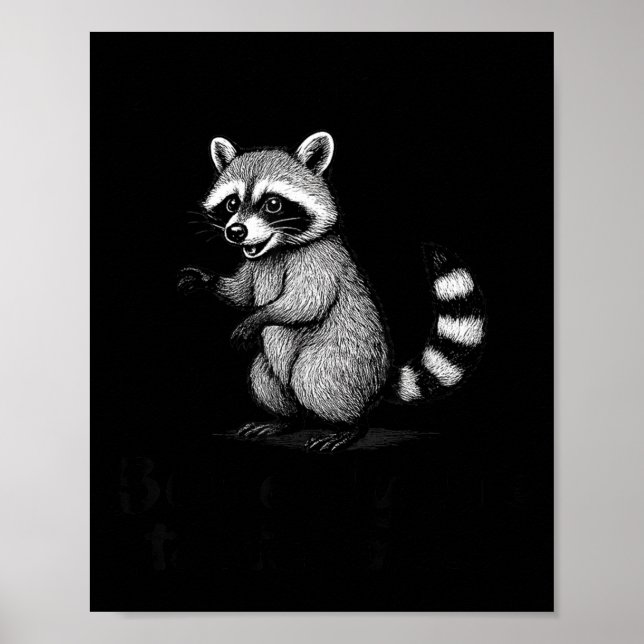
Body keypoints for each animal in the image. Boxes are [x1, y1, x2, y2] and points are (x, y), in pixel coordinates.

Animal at [178, 132, 486, 452]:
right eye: (231, 203)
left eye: (273, 204)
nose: (236, 232)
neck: (276, 248)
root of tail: (379, 381)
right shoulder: (254, 263)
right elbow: (241, 293)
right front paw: (207, 279)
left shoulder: (320, 262)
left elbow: (305, 303)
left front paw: (258, 317)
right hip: (273, 370)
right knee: (264, 380)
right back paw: (284, 420)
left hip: (342, 361)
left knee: (314, 380)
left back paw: (350, 427)